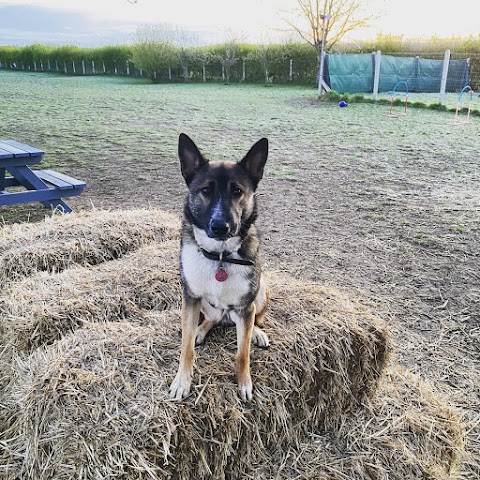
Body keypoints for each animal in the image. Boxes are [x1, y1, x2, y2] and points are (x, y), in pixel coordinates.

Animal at [170, 131, 270, 402]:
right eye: (205, 190)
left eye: (237, 191)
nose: (220, 227)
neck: (220, 256)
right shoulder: (190, 297)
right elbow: (186, 347)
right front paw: (182, 381)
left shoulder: (245, 306)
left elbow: (242, 353)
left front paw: (244, 383)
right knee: (210, 320)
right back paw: (200, 330)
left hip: (262, 290)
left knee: (256, 318)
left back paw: (257, 333)